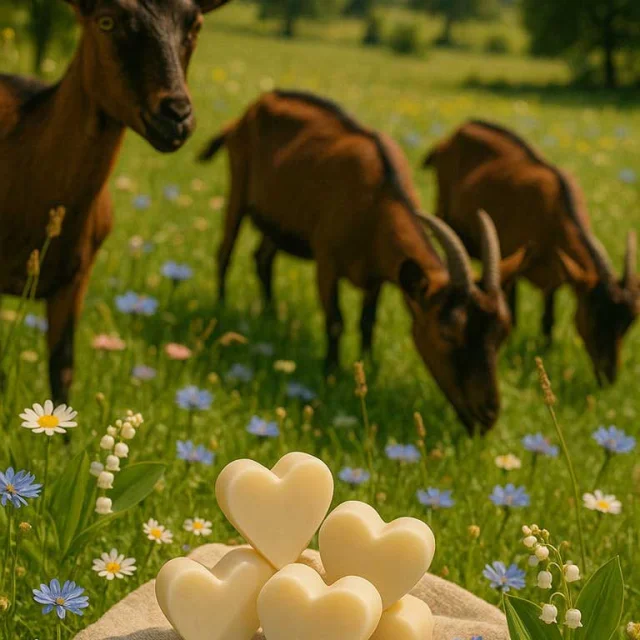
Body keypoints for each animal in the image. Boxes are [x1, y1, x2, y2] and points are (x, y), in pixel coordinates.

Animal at [199, 91, 529, 432]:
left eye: (503, 333)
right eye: (447, 333)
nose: (487, 416)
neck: (376, 201)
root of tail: (251, 109)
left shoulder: (377, 276)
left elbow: (367, 322)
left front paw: (369, 366)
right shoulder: (327, 262)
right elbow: (335, 322)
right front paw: (331, 373)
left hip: (278, 222)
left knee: (262, 259)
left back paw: (269, 313)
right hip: (237, 185)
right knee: (225, 252)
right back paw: (221, 305)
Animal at [423, 120, 639, 385]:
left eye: (630, 322)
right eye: (596, 315)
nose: (609, 377)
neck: (554, 210)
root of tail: (460, 129)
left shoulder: (555, 276)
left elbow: (548, 321)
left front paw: (546, 352)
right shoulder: (514, 255)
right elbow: (514, 313)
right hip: (442, 207)